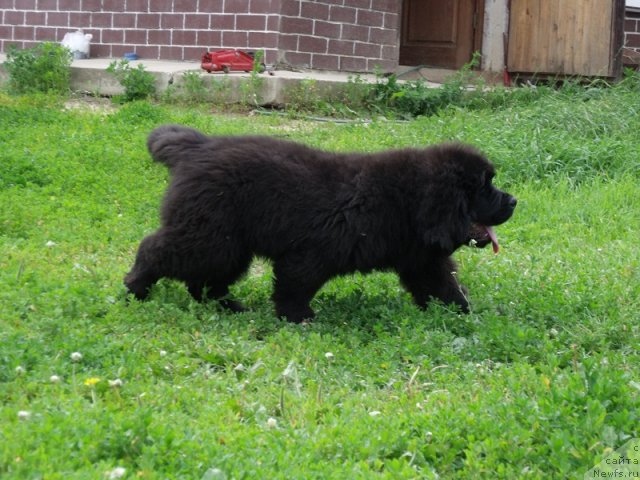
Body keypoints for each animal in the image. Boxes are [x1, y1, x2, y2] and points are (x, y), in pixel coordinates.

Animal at [125, 125, 516, 324]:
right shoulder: (311, 253)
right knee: (156, 250)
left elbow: (445, 288)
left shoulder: (422, 260)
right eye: (485, 187)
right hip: (211, 237)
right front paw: (298, 318)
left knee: (204, 281)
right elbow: (295, 287)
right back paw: (135, 290)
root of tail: (198, 147)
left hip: (227, 245)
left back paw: (229, 307)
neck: (409, 202)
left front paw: (466, 314)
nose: (513, 201)